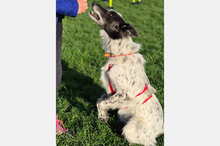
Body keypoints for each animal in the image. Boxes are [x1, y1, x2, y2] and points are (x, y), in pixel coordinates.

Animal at [88, 2, 162, 146]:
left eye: (110, 14)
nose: (94, 3)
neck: (118, 55)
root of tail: (161, 128)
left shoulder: (124, 94)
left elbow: (102, 103)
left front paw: (102, 117)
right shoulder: (110, 89)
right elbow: (99, 100)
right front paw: (103, 117)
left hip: (131, 129)